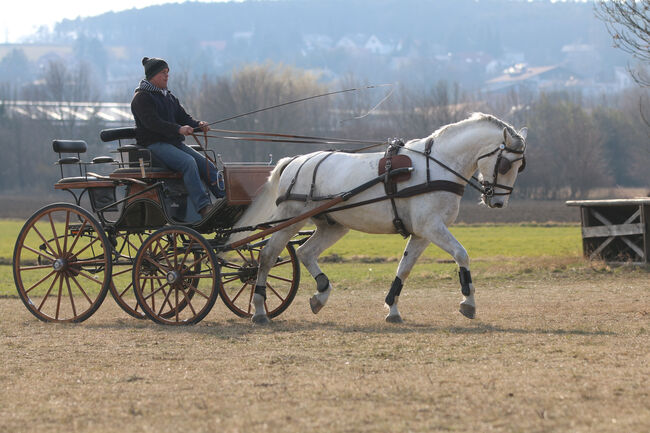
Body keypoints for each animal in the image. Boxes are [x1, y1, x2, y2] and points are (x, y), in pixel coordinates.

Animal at [229, 113, 528, 322]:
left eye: (520, 166)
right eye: (505, 164)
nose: (498, 201)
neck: (437, 166)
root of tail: (294, 161)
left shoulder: (422, 233)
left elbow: (403, 268)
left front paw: (392, 308)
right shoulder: (431, 227)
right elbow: (461, 254)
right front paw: (468, 302)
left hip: (333, 225)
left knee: (305, 252)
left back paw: (321, 294)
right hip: (290, 218)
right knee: (268, 255)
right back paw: (259, 310)